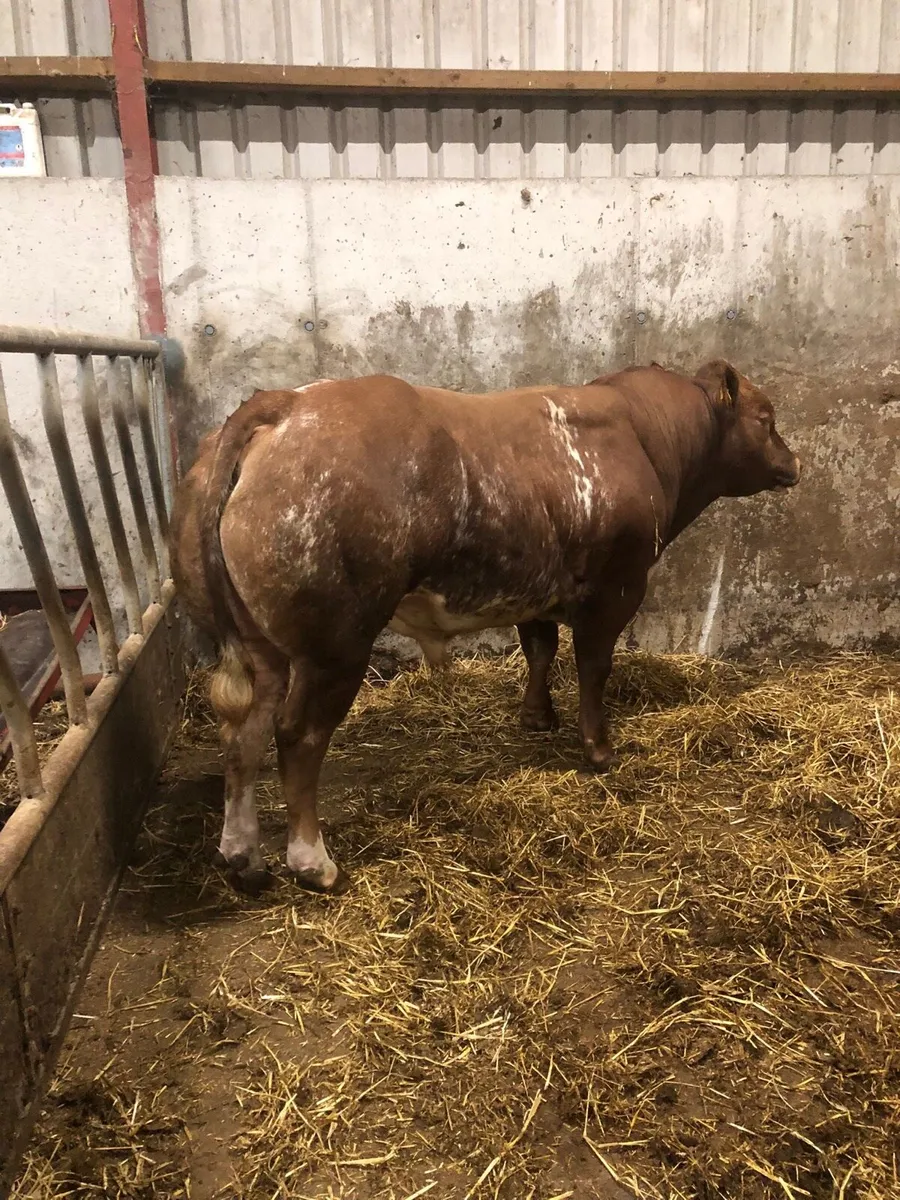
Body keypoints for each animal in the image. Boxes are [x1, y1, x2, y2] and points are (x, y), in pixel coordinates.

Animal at [170, 361, 801, 895]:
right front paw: (599, 749)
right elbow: (593, 666)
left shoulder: (541, 586)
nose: (795, 462)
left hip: (260, 644)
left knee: (243, 734)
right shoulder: (616, 588)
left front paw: (537, 717)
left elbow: (540, 650)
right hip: (335, 643)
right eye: (765, 417)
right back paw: (313, 863)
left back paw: (244, 857)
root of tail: (285, 403)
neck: (645, 437)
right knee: (297, 735)